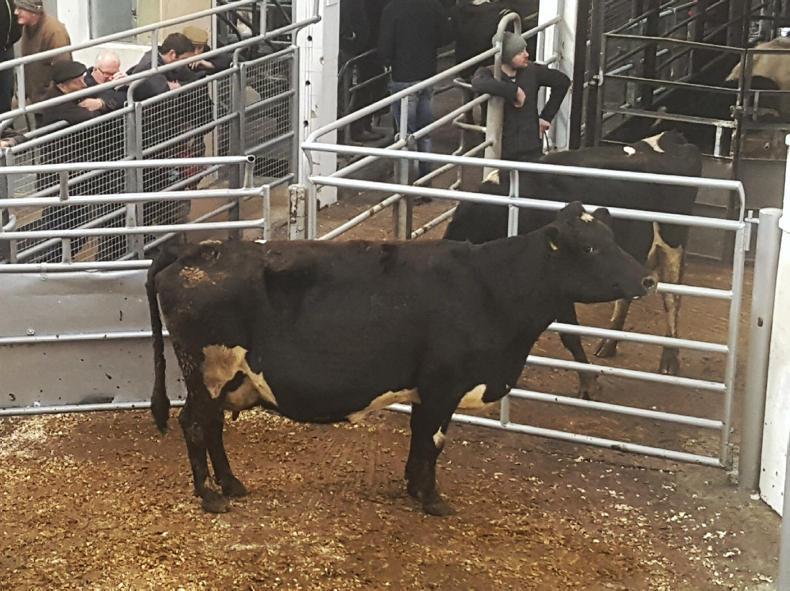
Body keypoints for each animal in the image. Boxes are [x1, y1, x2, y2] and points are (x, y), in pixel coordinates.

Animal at [147, 202, 653, 516]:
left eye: (612, 238)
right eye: (589, 247)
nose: (647, 280)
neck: (491, 285)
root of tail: (193, 250)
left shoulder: (427, 390)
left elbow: (421, 440)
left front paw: (414, 488)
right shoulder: (443, 385)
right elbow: (432, 441)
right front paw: (432, 499)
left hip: (224, 377)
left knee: (212, 426)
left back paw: (232, 484)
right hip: (207, 369)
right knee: (195, 425)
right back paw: (210, 495)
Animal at [444, 131, 702, 399]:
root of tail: (670, 137)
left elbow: (570, 335)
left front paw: (588, 383)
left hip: (674, 238)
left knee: (672, 298)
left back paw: (670, 358)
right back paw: (609, 343)